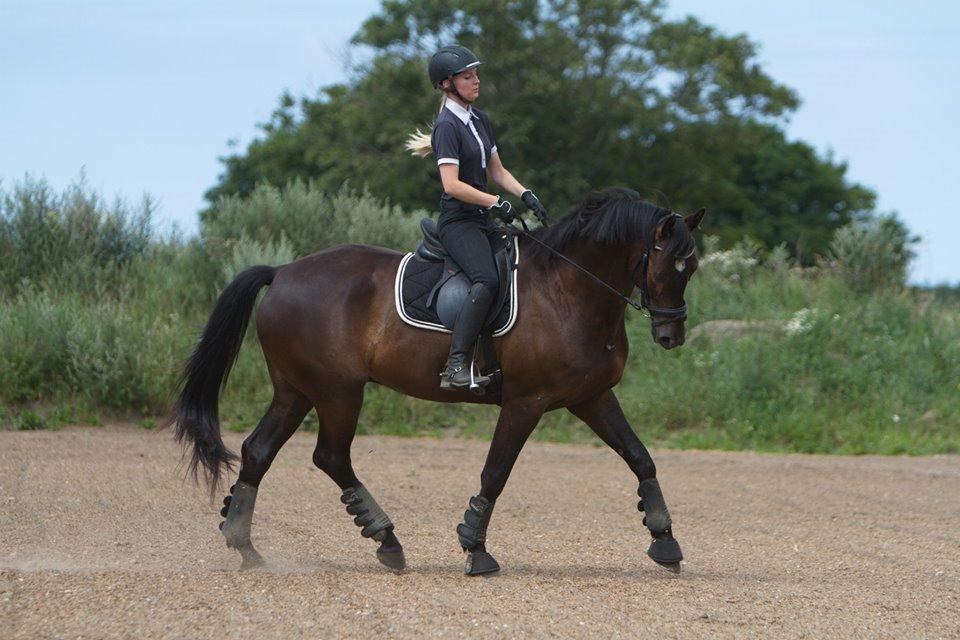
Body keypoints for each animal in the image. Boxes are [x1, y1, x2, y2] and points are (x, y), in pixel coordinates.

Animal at [171, 185, 704, 576]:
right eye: (669, 264)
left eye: (693, 266)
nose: (671, 334)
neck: (567, 290)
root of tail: (282, 272)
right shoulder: (526, 402)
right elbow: (495, 472)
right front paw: (476, 549)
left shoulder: (591, 396)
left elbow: (640, 456)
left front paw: (666, 541)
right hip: (337, 390)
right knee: (330, 456)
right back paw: (387, 540)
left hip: (296, 390)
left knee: (258, 451)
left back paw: (244, 545)